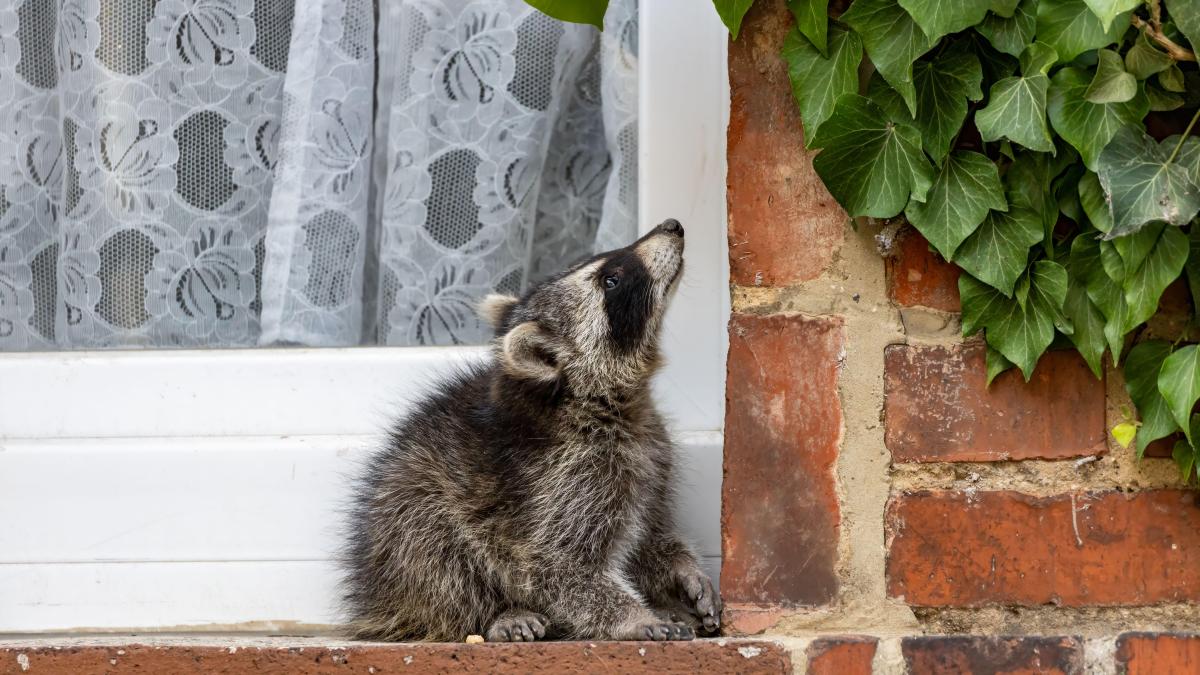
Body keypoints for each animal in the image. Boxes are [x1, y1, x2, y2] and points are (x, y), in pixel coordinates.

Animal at [341, 218, 720, 642]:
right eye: (611, 280)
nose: (672, 225)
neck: (615, 402)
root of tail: (376, 595)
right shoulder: (567, 478)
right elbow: (557, 565)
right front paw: (634, 616)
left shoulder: (649, 457)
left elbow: (650, 534)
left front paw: (681, 569)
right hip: (403, 515)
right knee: (435, 550)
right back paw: (494, 614)